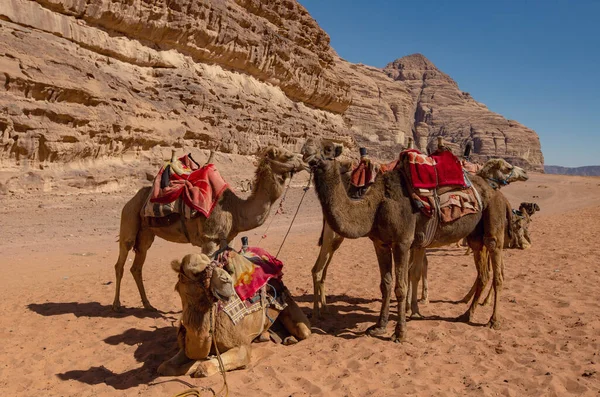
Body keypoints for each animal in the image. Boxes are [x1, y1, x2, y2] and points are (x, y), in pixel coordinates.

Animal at [112, 147, 308, 310]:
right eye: (287, 155)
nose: (306, 160)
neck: (235, 210)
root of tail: (130, 201)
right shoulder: (209, 239)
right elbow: (206, 271)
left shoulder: (228, 239)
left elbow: (227, 268)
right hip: (128, 219)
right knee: (121, 261)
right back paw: (116, 305)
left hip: (146, 233)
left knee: (137, 266)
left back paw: (148, 305)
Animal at [157, 252, 312, 376]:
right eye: (195, 272)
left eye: (215, 263)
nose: (226, 280)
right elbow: (164, 366)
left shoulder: (242, 347)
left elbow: (204, 367)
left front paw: (200, 363)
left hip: (289, 303)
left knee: (304, 331)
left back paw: (290, 339)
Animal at [302, 138, 512, 342]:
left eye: (328, 148)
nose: (306, 149)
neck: (376, 205)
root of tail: (498, 193)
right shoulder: (380, 243)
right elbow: (385, 285)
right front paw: (379, 326)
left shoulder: (402, 242)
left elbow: (401, 287)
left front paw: (400, 333)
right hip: (475, 236)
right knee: (483, 273)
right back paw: (466, 315)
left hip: (494, 223)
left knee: (497, 272)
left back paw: (493, 321)